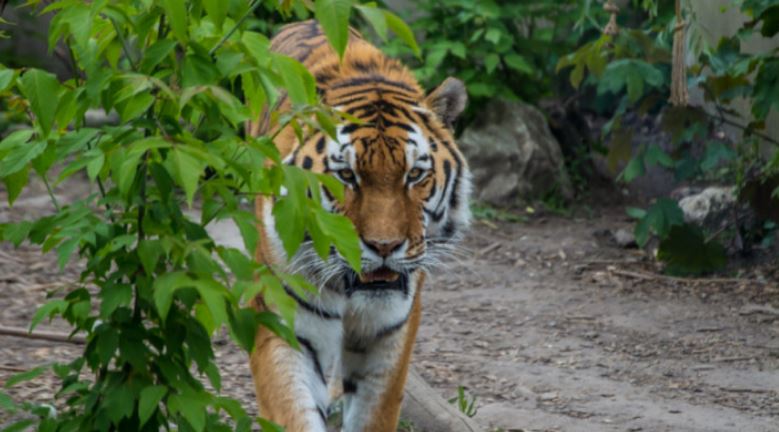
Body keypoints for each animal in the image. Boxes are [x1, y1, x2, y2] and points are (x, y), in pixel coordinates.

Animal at [247, 20, 472, 432]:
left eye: (414, 175)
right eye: (347, 176)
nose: (384, 246)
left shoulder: (390, 334)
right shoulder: (284, 318)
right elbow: (293, 410)